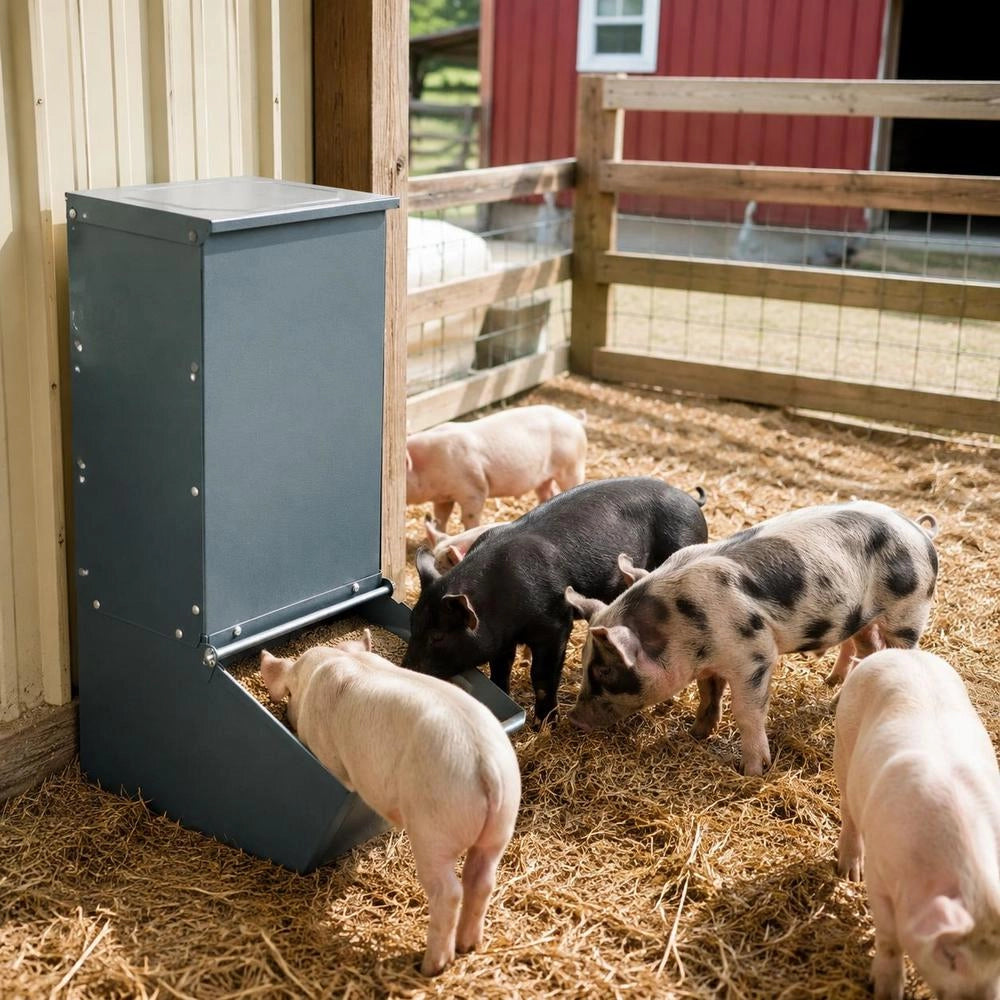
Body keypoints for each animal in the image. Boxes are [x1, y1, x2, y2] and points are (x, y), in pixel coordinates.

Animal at [259, 631, 521, 977]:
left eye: (290, 694)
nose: (288, 715)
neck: (332, 661)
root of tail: (485, 761)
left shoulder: (329, 755)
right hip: (501, 824)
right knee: (482, 881)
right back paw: (469, 946)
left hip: (433, 829)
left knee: (449, 892)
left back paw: (431, 966)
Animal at [403, 477, 709, 725]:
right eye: (413, 625)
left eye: (438, 637)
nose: (406, 670)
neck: (499, 600)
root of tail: (690, 500)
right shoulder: (502, 638)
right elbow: (500, 670)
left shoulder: (555, 626)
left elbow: (542, 675)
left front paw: (545, 725)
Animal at [405, 404, 587, 529]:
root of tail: (574, 419)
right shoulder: (443, 497)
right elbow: (441, 517)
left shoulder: (474, 489)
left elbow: (469, 517)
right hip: (544, 478)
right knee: (548, 492)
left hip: (572, 465)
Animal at [565, 501, 939, 776]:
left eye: (605, 672)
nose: (573, 719)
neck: (683, 624)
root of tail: (919, 530)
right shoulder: (713, 661)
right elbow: (709, 694)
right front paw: (695, 733)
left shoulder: (755, 656)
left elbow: (746, 711)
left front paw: (752, 771)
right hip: (863, 619)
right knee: (868, 649)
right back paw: (836, 698)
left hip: (909, 612)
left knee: (896, 650)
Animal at [834, 649, 1000, 1000]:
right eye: (950, 954)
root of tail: (897, 653)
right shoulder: (880, 874)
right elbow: (889, 937)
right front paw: (885, 991)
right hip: (843, 744)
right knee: (848, 810)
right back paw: (848, 873)